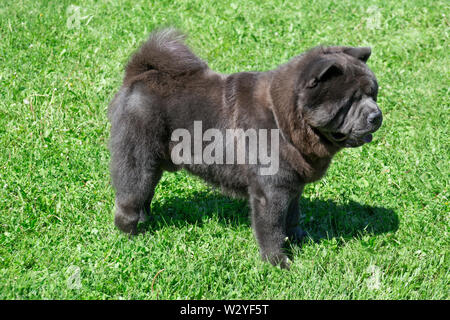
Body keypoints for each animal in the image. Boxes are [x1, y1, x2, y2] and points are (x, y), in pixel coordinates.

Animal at [107, 28, 382, 268]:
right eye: (350, 101)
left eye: (373, 94)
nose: (376, 115)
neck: (283, 119)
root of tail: (136, 77)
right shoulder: (271, 192)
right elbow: (272, 229)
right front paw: (277, 261)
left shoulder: (292, 186)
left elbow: (292, 217)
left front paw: (299, 239)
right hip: (139, 160)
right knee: (131, 196)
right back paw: (133, 234)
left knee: (145, 196)